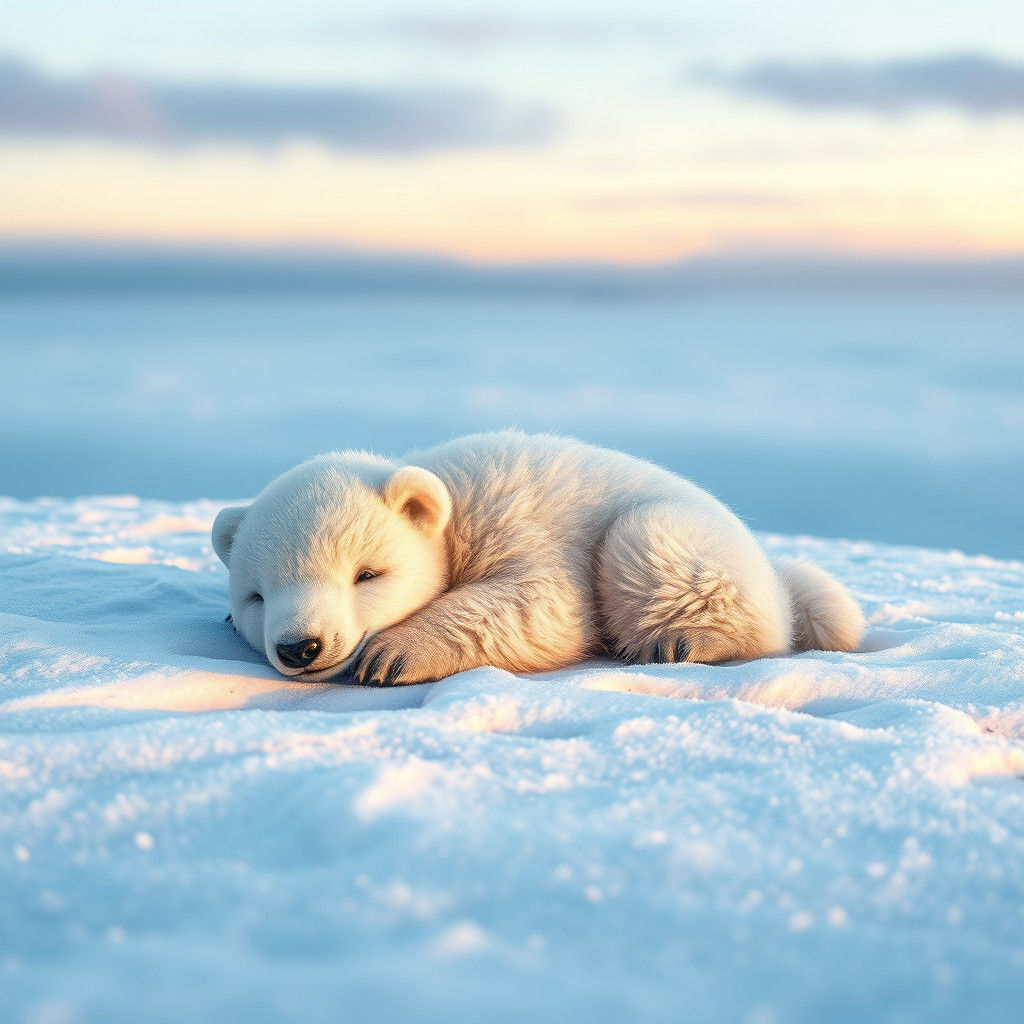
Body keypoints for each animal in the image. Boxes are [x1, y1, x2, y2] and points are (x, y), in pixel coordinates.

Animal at [212, 431, 864, 686]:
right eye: (255, 596)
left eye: (367, 574)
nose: (300, 647)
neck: (453, 500)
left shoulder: (511, 518)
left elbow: (544, 603)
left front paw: (392, 655)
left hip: (673, 533)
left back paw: (682, 641)